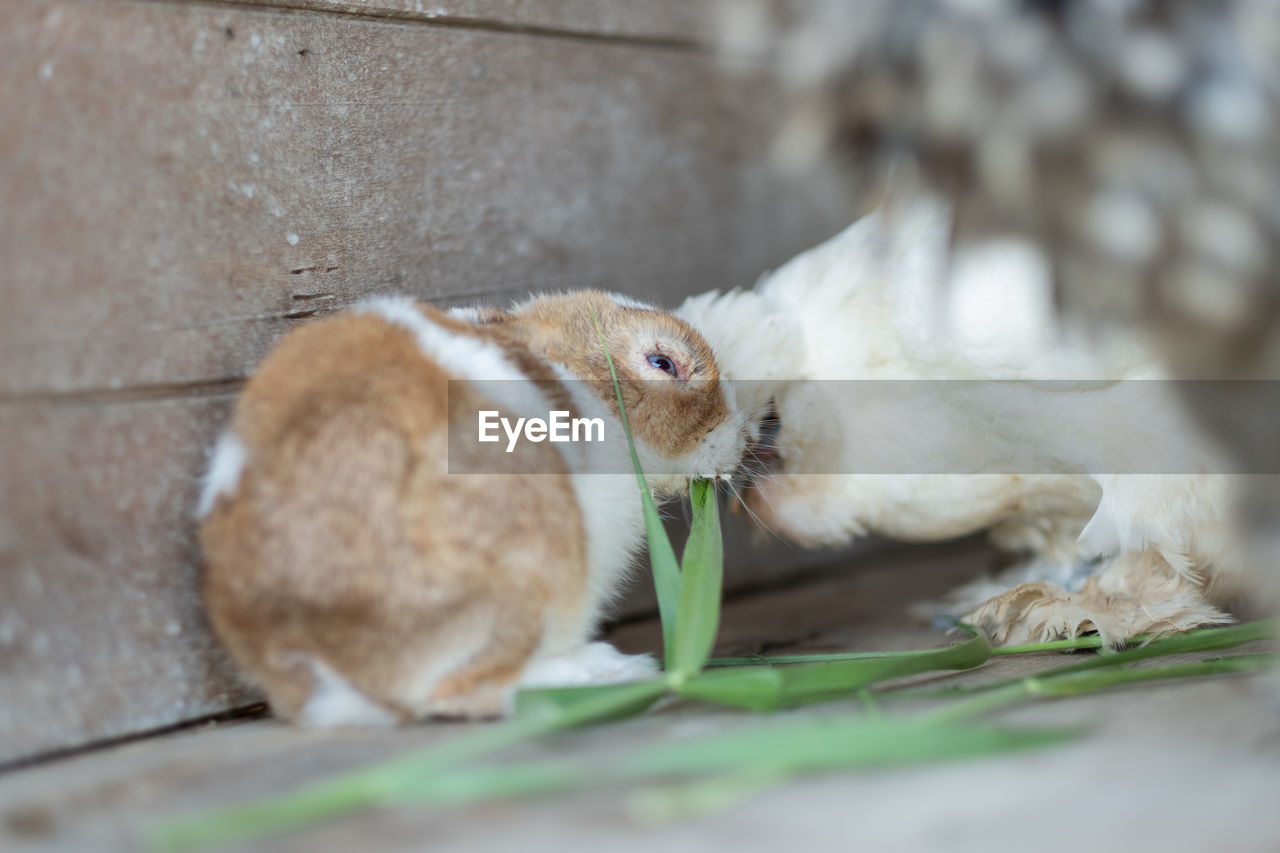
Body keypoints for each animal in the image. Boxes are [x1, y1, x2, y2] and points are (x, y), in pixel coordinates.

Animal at [194, 290, 747, 722]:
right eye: (663, 364)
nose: (742, 435)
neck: (573, 374)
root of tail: (313, 649)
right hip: (533, 565)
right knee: (467, 690)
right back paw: (618, 674)